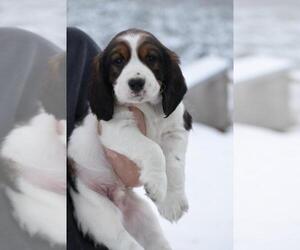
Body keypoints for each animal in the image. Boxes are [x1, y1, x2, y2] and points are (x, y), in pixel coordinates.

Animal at [68, 28, 192, 249]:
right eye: (118, 61)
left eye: (151, 58)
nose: (136, 83)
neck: (148, 107)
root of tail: (118, 200)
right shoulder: (117, 128)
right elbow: (153, 149)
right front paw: (157, 184)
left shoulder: (178, 128)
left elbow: (175, 163)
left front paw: (172, 201)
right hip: (98, 214)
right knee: (125, 242)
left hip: (144, 218)